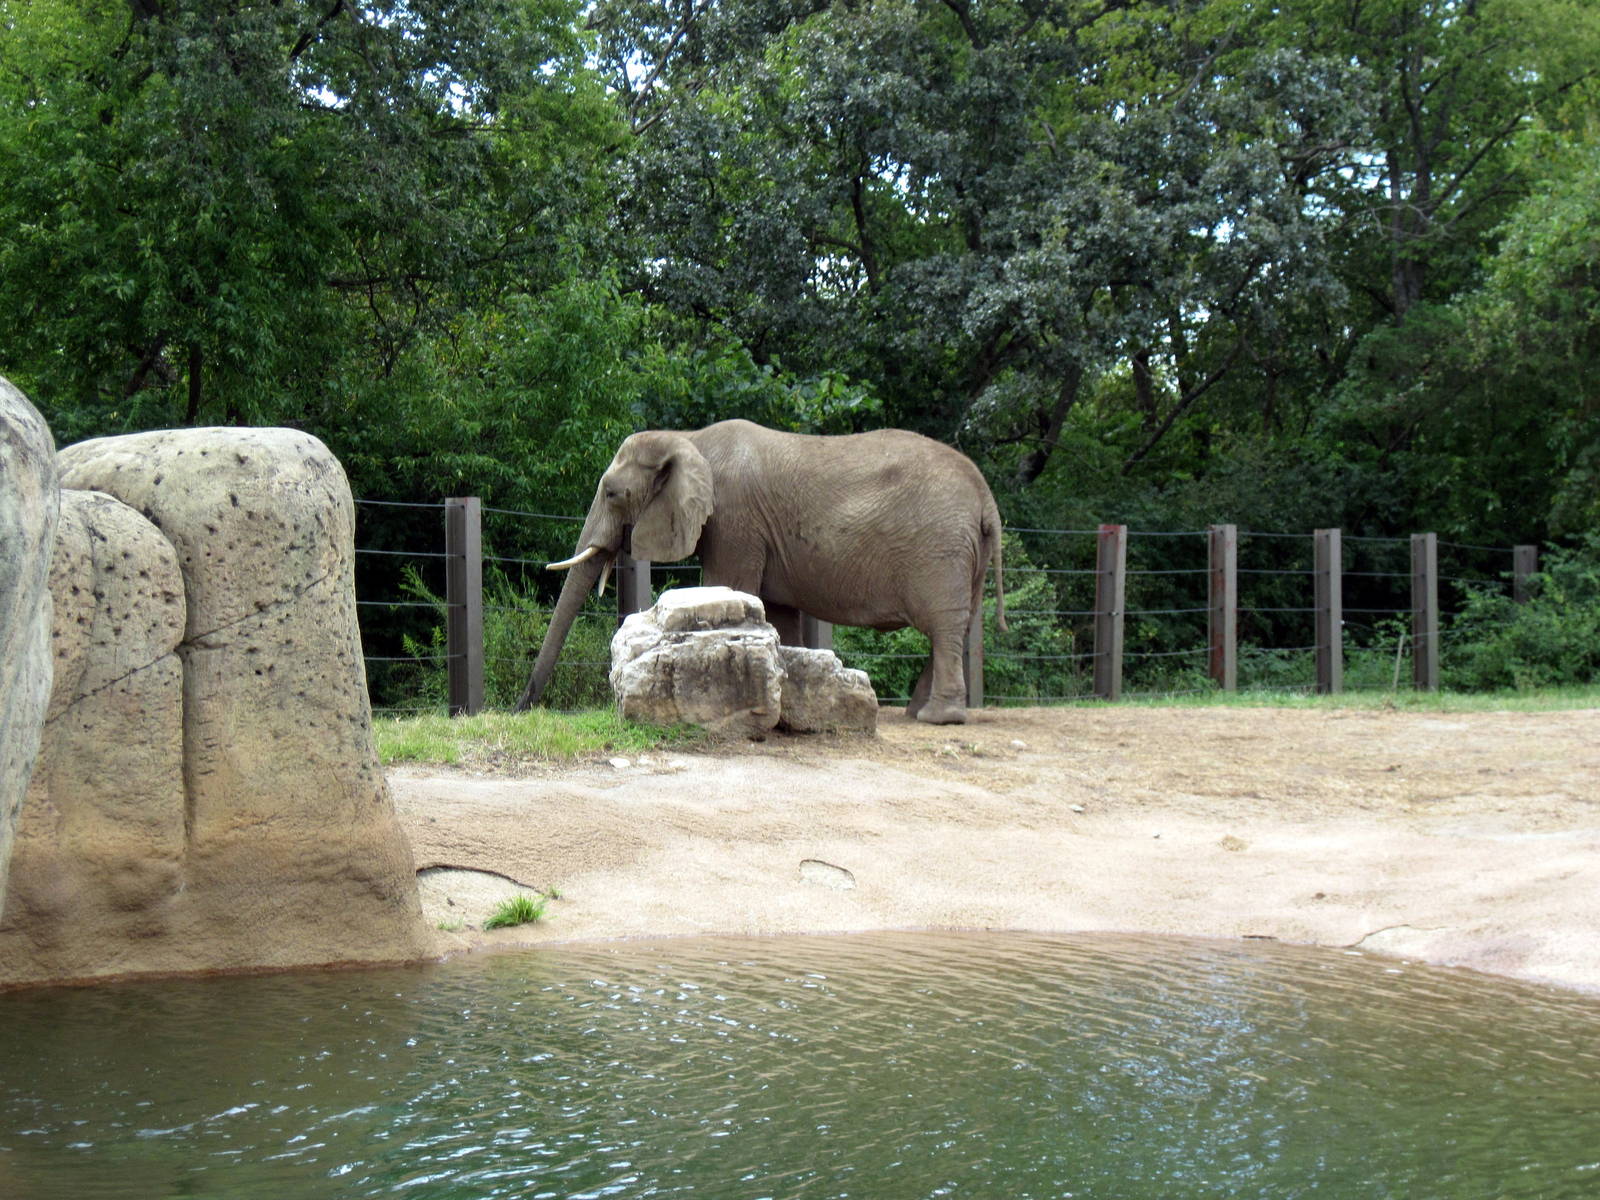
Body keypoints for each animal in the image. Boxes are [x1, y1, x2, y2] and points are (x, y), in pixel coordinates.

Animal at [515, 419, 1006, 724]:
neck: (688, 438)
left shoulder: (735, 520)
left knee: (943, 626)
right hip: (963, 551)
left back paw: (937, 718)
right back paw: (916, 713)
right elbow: (780, 613)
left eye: (613, 494)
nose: (521, 708)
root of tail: (987, 496)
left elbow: (729, 585)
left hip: (939, 549)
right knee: (957, 625)